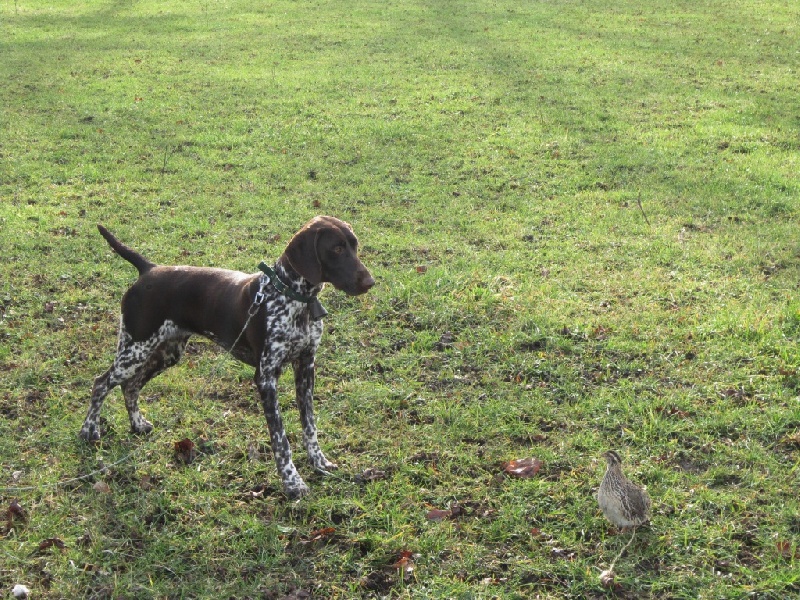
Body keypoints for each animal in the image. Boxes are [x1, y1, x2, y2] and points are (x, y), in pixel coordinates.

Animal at [83, 218, 376, 500]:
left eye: (354, 245)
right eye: (336, 249)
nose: (370, 282)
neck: (291, 297)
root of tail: (149, 269)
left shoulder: (306, 368)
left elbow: (310, 426)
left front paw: (319, 462)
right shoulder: (266, 378)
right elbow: (281, 440)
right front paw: (293, 483)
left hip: (167, 352)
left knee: (130, 385)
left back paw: (137, 424)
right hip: (135, 349)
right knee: (101, 383)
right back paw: (89, 431)